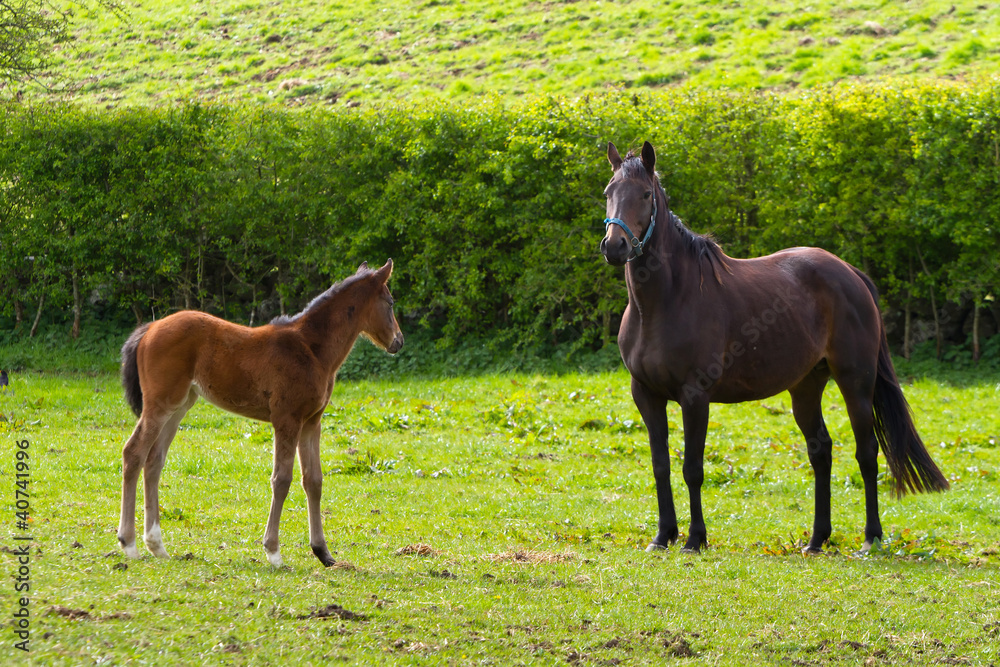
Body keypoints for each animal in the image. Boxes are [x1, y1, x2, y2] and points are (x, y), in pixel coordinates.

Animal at [122, 260, 406, 568]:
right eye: (390, 302)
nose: (399, 341)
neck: (311, 349)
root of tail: (150, 328)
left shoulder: (311, 422)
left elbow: (313, 480)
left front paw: (323, 552)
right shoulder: (287, 420)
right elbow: (281, 479)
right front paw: (273, 551)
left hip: (179, 407)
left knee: (154, 461)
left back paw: (157, 546)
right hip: (159, 405)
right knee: (134, 453)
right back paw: (129, 544)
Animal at [596, 141, 948, 552]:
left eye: (645, 195)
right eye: (609, 192)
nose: (615, 246)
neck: (665, 301)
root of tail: (850, 273)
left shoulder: (694, 396)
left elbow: (692, 469)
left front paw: (695, 538)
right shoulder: (646, 395)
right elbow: (660, 465)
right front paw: (663, 535)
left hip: (855, 384)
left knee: (867, 453)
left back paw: (870, 538)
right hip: (806, 387)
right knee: (821, 452)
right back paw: (816, 539)